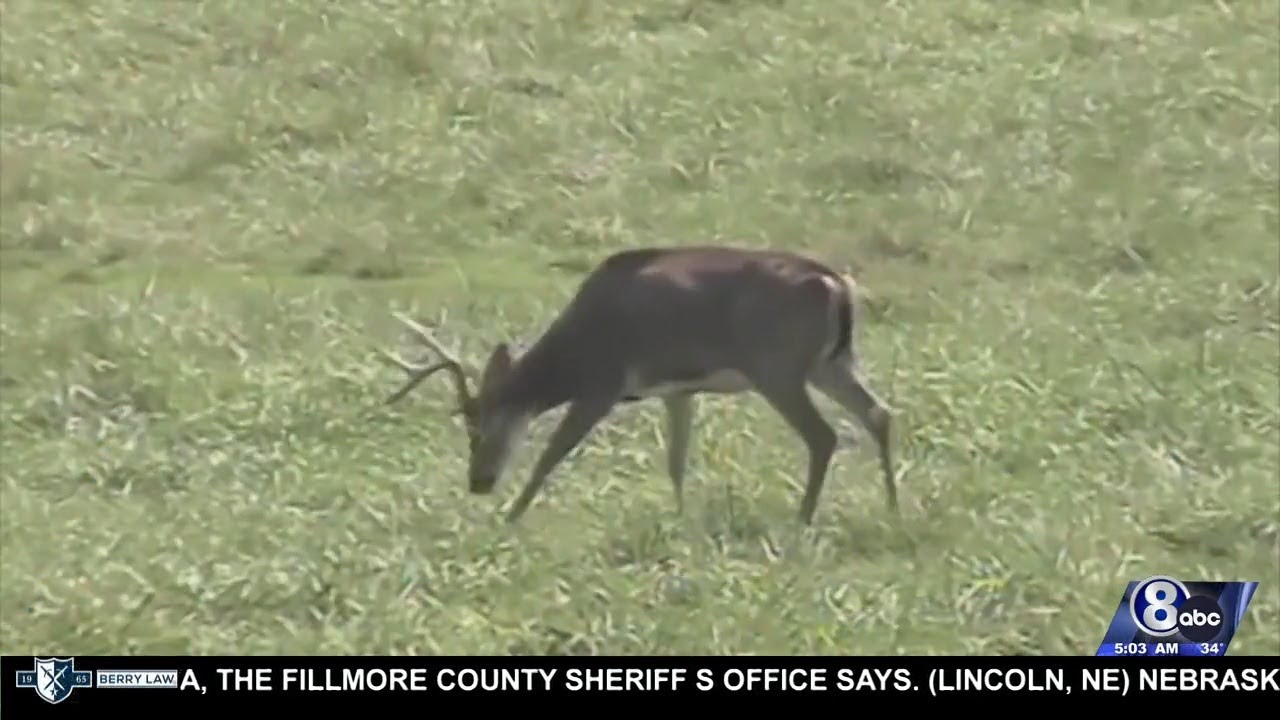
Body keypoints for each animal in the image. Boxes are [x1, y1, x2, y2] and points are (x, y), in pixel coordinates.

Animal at [375, 245, 899, 526]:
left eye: (480, 427)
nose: (478, 483)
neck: (573, 353)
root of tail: (836, 285)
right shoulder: (677, 390)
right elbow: (677, 461)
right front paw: (679, 518)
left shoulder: (602, 384)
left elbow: (551, 455)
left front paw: (511, 518)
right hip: (829, 363)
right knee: (879, 412)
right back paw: (893, 508)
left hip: (778, 367)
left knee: (824, 435)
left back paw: (802, 519)